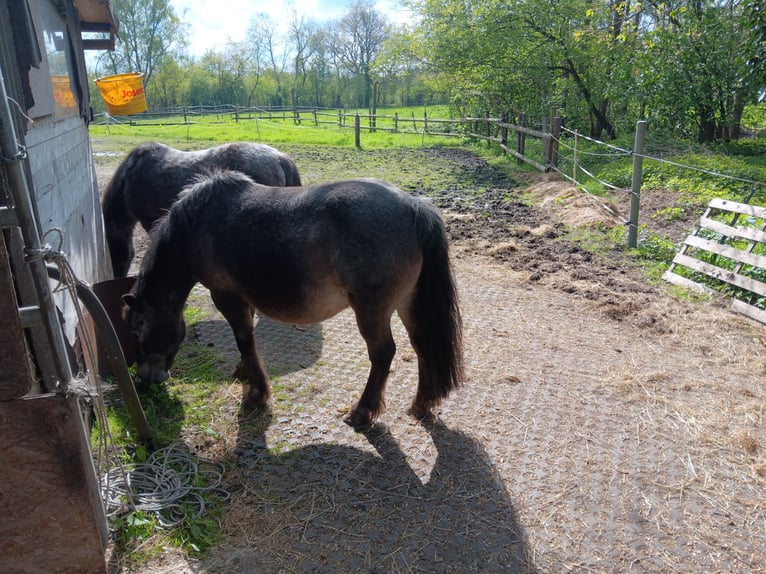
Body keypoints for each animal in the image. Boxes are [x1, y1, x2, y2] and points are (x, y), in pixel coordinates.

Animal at [123, 171, 464, 428]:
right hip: (409, 303)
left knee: (383, 354)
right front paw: (244, 372)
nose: (146, 378)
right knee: (422, 345)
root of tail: (414, 206)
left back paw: (362, 411)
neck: (196, 225)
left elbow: (244, 339)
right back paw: (421, 403)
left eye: (138, 331)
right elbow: (246, 342)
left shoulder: (226, 296)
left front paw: (257, 393)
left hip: (372, 311)